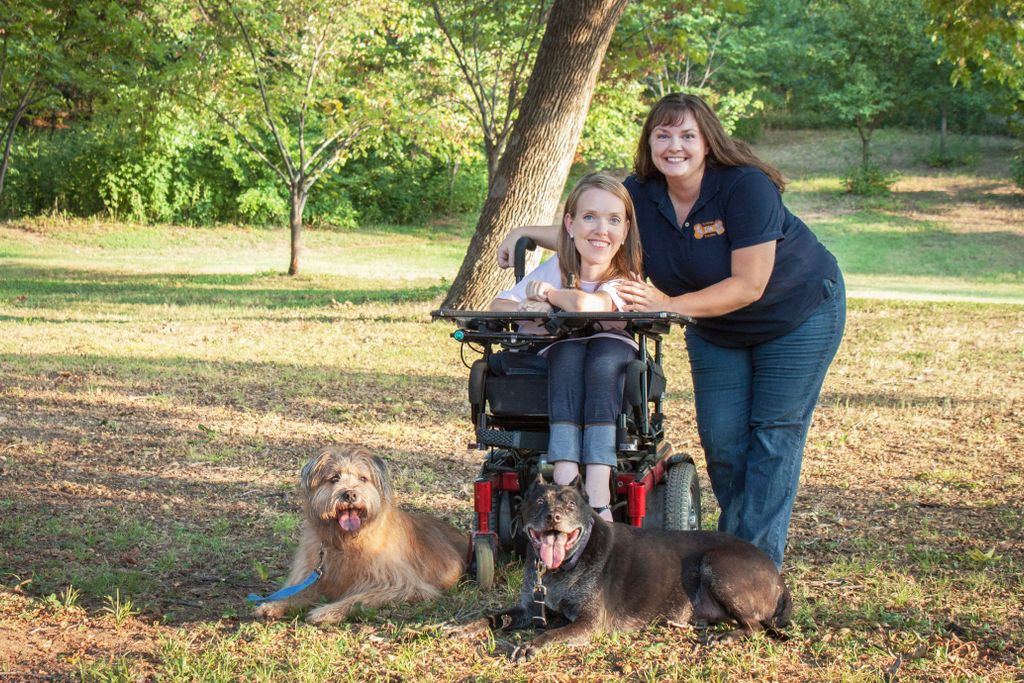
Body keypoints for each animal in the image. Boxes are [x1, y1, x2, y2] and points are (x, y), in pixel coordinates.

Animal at [252, 446, 468, 622]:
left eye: (363, 478)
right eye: (334, 478)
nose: (349, 494)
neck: (347, 541)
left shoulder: (403, 585)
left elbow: (359, 599)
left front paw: (326, 611)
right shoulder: (317, 578)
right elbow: (297, 594)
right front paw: (274, 605)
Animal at [487, 479, 790, 659]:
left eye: (571, 504)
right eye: (539, 502)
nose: (553, 517)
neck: (561, 568)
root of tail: (778, 577)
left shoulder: (589, 622)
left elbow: (552, 633)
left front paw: (531, 645)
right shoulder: (529, 609)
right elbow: (492, 618)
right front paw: (474, 627)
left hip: (716, 565)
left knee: (755, 627)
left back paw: (726, 637)